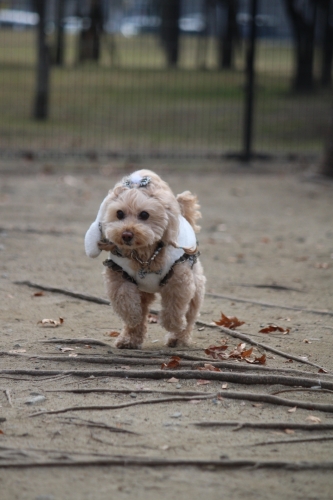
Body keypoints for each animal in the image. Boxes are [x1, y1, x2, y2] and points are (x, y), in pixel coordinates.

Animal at [84, 170, 205, 350]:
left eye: (144, 214)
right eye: (119, 213)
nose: (126, 234)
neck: (143, 255)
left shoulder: (179, 278)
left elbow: (175, 304)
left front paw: (172, 324)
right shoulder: (119, 274)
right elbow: (125, 299)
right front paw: (133, 316)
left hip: (196, 285)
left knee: (190, 315)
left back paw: (178, 338)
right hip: (143, 291)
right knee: (140, 314)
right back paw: (129, 339)